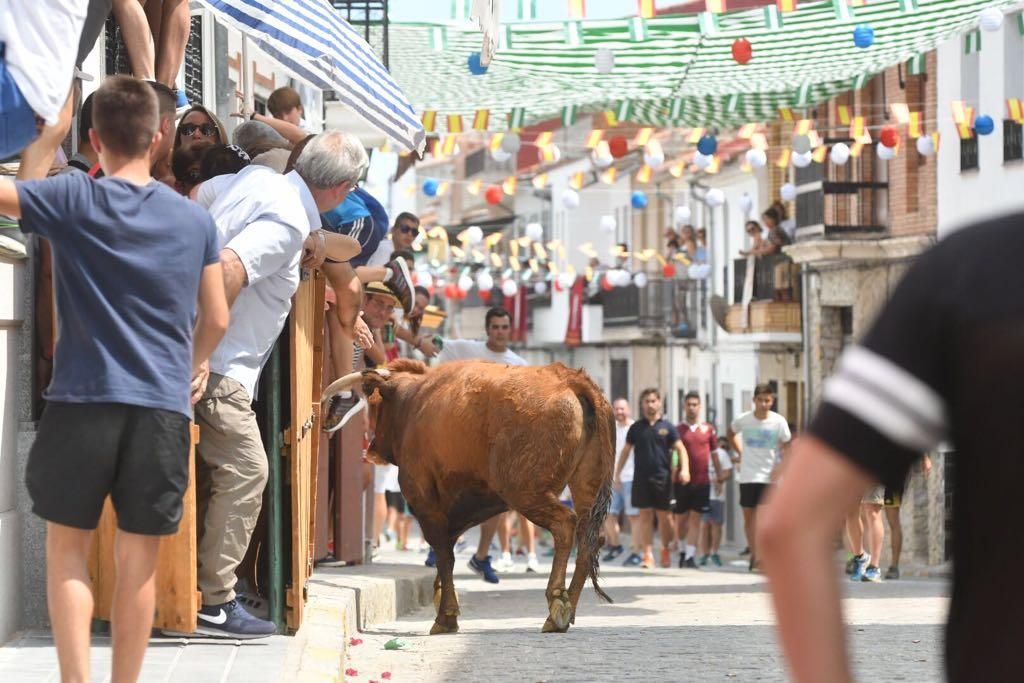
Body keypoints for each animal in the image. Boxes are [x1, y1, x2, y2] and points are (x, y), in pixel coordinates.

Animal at [325, 358, 614, 634]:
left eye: (377, 406)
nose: (372, 449)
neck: (416, 400)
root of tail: (567, 377)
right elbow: (446, 554)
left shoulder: (425, 502)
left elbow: (444, 554)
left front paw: (446, 616)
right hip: (584, 486)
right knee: (590, 538)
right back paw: (568, 610)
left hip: (525, 492)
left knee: (565, 525)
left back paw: (557, 606)